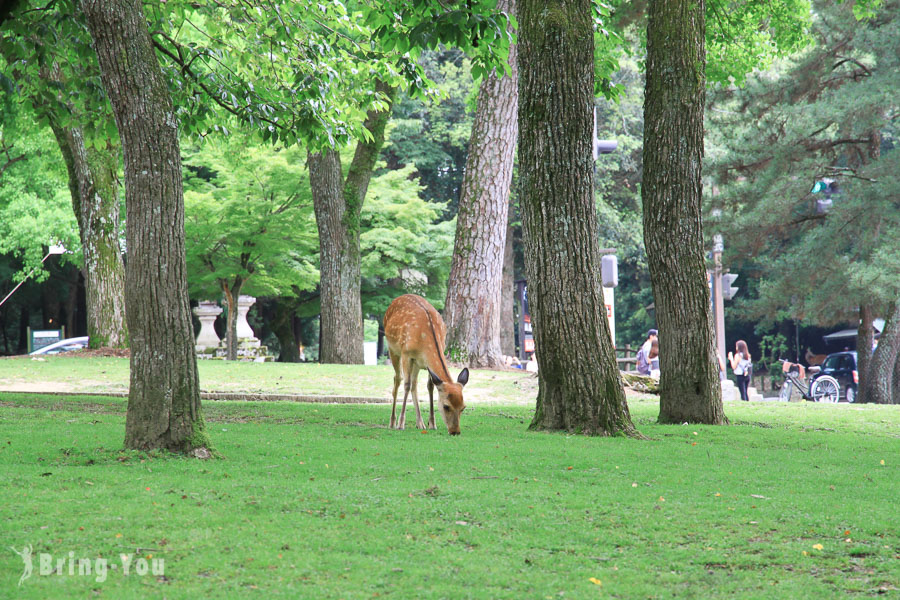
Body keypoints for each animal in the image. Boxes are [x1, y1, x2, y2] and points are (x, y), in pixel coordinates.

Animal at [384, 292, 472, 434]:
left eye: (463, 407)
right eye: (446, 406)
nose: (455, 431)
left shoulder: (425, 363)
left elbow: (430, 386)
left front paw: (432, 423)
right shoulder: (406, 355)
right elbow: (406, 385)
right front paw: (401, 424)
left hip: (416, 364)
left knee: (414, 384)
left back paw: (420, 423)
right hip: (393, 350)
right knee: (398, 379)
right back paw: (392, 422)